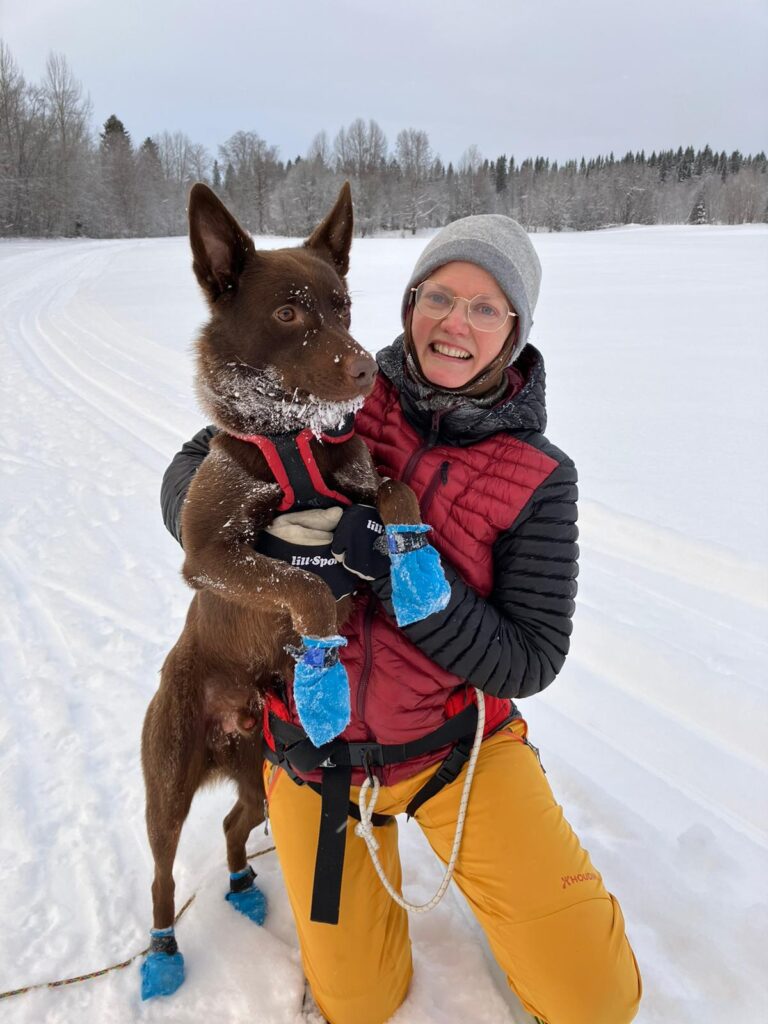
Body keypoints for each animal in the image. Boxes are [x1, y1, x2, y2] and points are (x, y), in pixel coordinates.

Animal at [141, 182, 423, 991]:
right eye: (290, 314)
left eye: (344, 304)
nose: (367, 373)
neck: (294, 438)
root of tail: (232, 719)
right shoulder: (208, 552)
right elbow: (302, 587)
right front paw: (323, 657)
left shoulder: (360, 482)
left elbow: (394, 493)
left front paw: (418, 571)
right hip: (166, 780)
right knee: (161, 872)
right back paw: (162, 955)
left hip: (260, 769)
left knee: (235, 821)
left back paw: (240, 882)